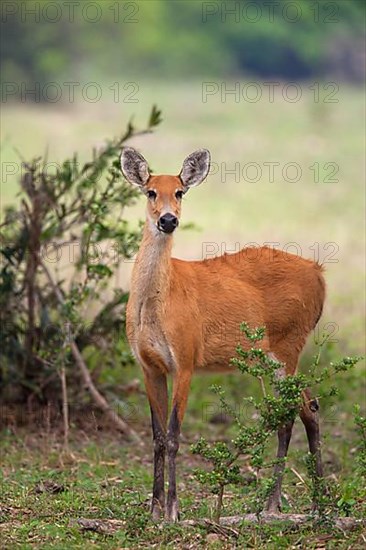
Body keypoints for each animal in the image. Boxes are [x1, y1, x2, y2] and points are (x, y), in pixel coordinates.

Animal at [120, 147, 326, 520]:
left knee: (290, 413)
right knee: (308, 407)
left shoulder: (185, 359)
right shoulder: (148, 365)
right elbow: (156, 437)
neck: (159, 302)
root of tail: (320, 274)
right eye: (150, 192)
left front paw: (173, 511)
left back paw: (277, 504)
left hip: (288, 344)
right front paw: (153, 510)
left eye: (180, 192)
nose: (168, 220)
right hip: (275, 355)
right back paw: (312, 503)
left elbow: (174, 435)